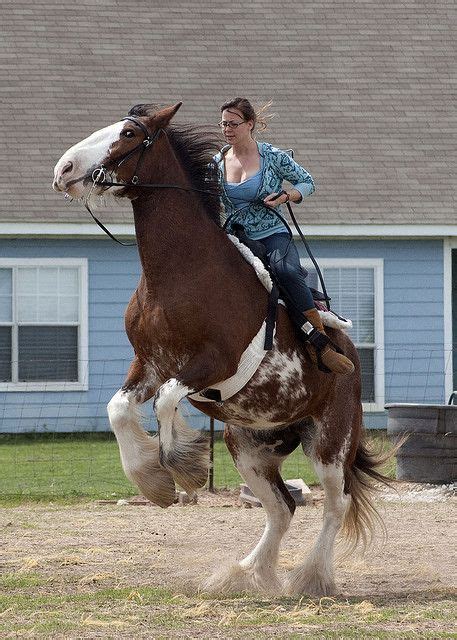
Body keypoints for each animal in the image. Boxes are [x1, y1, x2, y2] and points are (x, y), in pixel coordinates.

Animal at [52, 102, 388, 596]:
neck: (185, 271)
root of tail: (350, 359)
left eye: (129, 133)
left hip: (328, 442)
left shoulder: (213, 365)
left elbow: (166, 401)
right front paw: (154, 481)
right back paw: (246, 572)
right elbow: (119, 409)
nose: (64, 169)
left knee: (335, 504)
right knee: (283, 507)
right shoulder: (149, 364)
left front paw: (182, 468)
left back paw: (310, 578)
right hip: (247, 446)